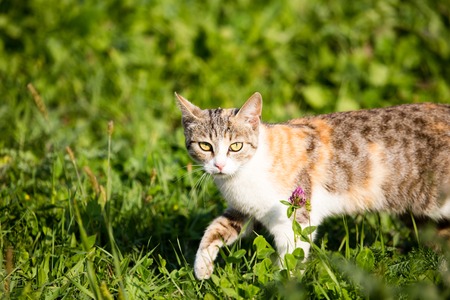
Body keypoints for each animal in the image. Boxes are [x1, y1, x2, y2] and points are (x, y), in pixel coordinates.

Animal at [176, 92, 450, 280]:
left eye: (235, 146)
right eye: (205, 146)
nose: (219, 165)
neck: (243, 175)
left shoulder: (294, 217)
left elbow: (291, 256)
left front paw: (279, 285)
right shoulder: (245, 210)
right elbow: (216, 229)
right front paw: (202, 267)